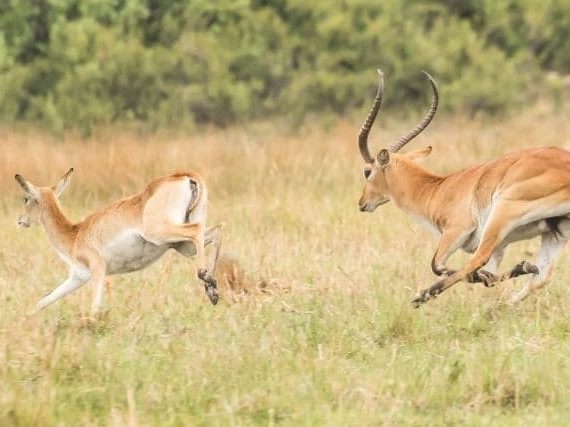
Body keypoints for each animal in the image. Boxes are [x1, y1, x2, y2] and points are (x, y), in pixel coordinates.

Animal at [14, 168, 223, 314]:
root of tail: (185, 175)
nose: (20, 220)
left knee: (197, 230)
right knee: (217, 230)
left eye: (26, 198)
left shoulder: (98, 268)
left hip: (161, 233)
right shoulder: (78, 277)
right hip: (182, 245)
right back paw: (212, 290)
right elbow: (43, 301)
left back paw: (205, 278)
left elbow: (95, 306)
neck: (75, 234)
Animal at [358, 68, 570, 306]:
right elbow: (489, 274)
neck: (436, 190)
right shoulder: (502, 245)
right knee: (540, 277)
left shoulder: (457, 231)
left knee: (476, 260)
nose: (362, 203)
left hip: (501, 214)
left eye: (367, 171)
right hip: (556, 233)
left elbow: (438, 265)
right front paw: (519, 268)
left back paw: (422, 296)